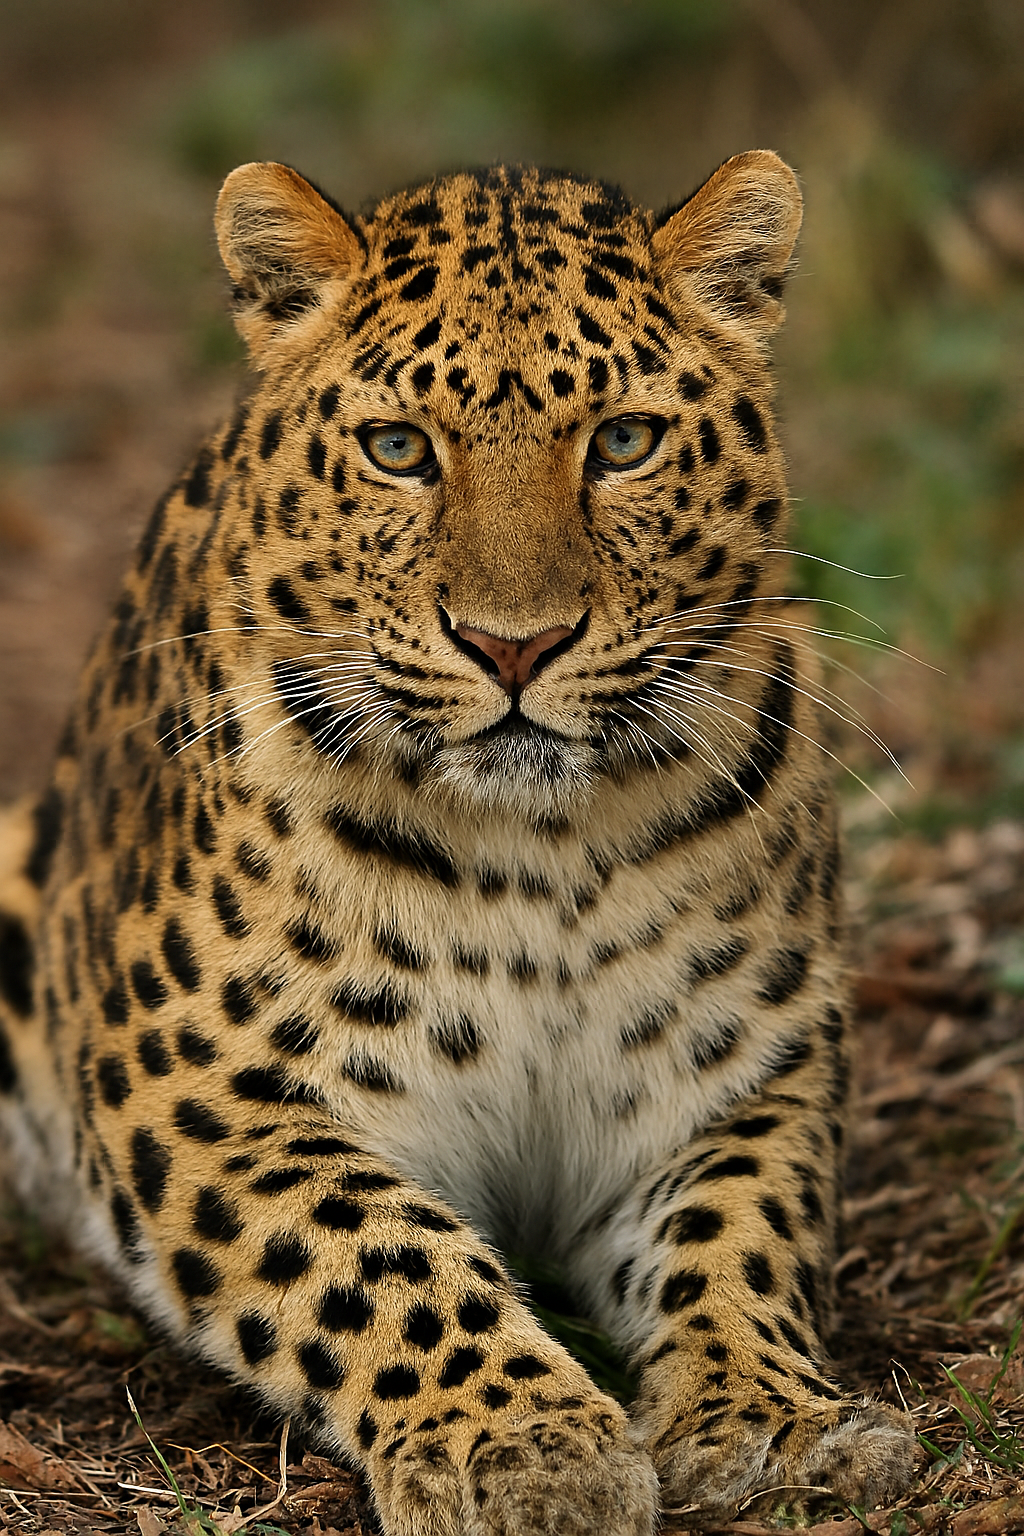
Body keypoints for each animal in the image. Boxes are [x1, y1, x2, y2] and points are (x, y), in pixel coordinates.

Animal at [0, 150, 916, 1535]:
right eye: (398, 450)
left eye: (623, 441)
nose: (513, 645)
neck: (543, 853)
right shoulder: (212, 1091)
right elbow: (380, 1253)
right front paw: (526, 1444)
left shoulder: (733, 1082)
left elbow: (737, 1236)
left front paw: (769, 1418)